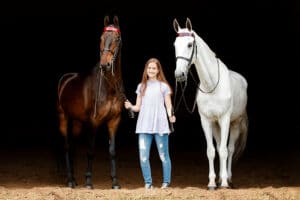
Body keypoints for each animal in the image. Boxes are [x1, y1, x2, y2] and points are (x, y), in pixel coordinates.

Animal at [57, 15, 130, 189]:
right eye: (101, 38)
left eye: (117, 38)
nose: (105, 64)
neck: (109, 87)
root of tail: (66, 78)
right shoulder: (93, 122)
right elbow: (90, 151)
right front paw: (89, 181)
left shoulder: (114, 121)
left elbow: (112, 151)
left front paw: (115, 182)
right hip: (63, 118)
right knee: (67, 147)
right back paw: (70, 181)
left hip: (77, 122)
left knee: (73, 147)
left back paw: (74, 179)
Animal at [172, 18, 247, 190]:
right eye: (175, 45)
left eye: (189, 44)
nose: (179, 75)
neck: (212, 85)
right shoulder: (206, 121)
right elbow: (212, 151)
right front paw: (212, 182)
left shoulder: (225, 119)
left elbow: (225, 151)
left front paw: (224, 183)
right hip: (215, 125)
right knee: (219, 147)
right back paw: (219, 179)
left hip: (234, 123)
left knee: (230, 149)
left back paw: (228, 179)